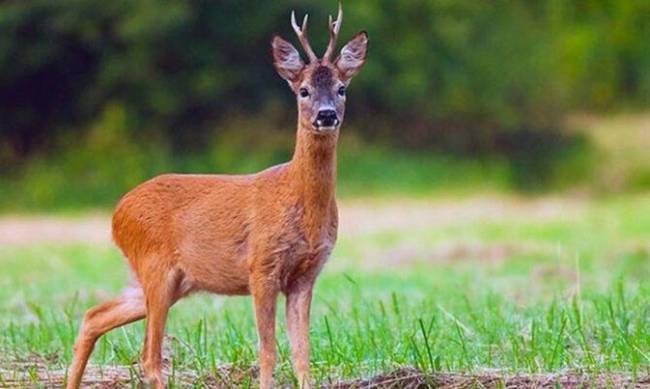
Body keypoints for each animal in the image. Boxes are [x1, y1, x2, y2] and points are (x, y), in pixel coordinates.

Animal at [67, 5, 368, 388]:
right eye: (303, 90)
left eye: (342, 88)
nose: (326, 115)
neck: (298, 199)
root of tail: (117, 213)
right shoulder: (262, 265)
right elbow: (268, 350)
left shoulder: (306, 274)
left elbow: (303, 355)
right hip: (156, 266)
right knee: (149, 356)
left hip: (167, 279)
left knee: (94, 315)